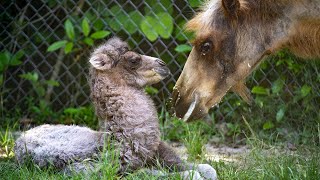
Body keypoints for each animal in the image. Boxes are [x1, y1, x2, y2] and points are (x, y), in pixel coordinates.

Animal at [13, 37, 216, 179]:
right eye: (133, 60)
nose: (163, 64)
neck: (121, 139)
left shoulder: (159, 154)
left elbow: (206, 168)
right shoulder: (100, 170)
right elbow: (154, 174)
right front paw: (190, 175)